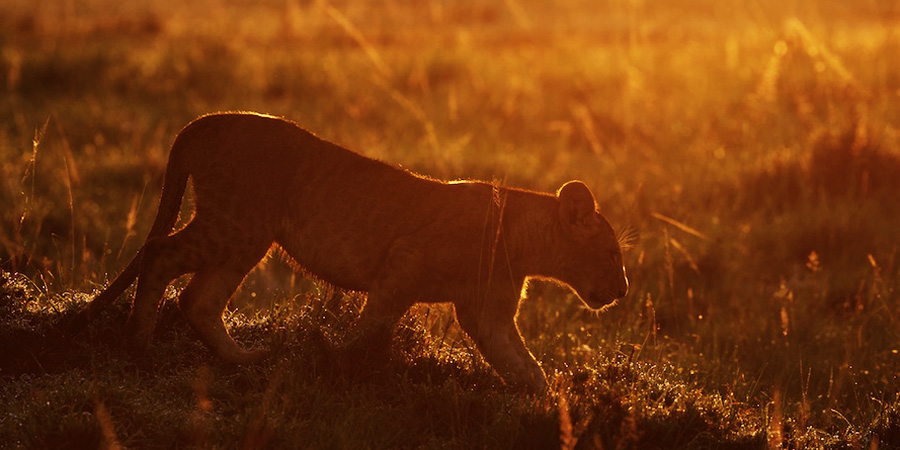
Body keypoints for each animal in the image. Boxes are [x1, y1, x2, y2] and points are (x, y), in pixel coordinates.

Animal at [77, 112, 628, 390]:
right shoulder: (402, 265)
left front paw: (551, 401)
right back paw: (139, 345)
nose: (623, 291)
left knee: (198, 300)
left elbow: (521, 362)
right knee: (160, 255)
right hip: (236, 224)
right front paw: (334, 361)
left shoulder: (486, 311)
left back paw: (245, 359)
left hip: (245, 236)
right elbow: (372, 327)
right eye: (610, 253)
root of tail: (200, 122)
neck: (522, 241)